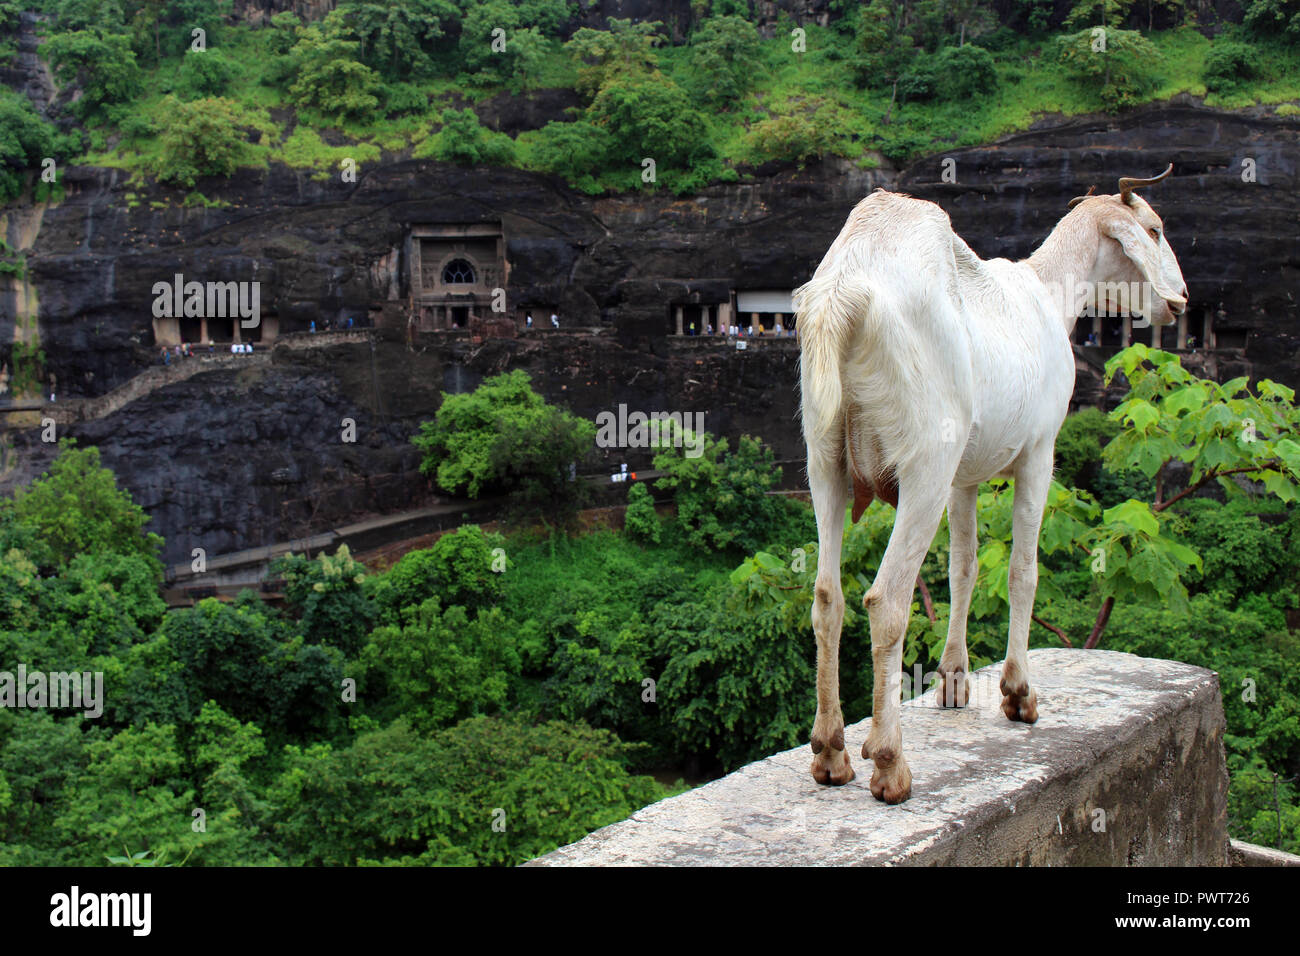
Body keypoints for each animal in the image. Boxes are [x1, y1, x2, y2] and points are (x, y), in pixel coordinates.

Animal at [790, 167, 1190, 806]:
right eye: (1152, 229)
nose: (1179, 300)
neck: (1046, 293)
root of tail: (845, 293)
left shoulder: (964, 477)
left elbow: (964, 566)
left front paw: (954, 680)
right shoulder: (1039, 453)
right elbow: (1023, 570)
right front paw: (1018, 692)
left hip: (825, 460)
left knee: (828, 596)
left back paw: (831, 753)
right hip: (925, 462)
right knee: (887, 601)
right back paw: (889, 762)